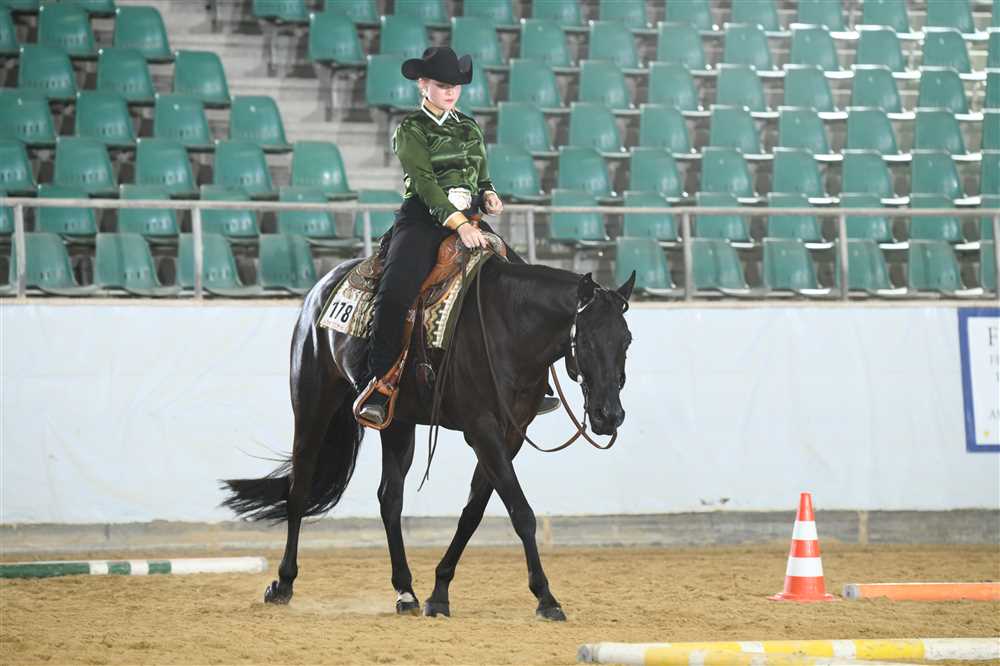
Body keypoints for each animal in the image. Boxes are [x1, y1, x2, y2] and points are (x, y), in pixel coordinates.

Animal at [222, 248, 635, 621]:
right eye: (587, 341)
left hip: (397, 424)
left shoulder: (510, 435)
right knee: (300, 489)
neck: (508, 328)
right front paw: (546, 598)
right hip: (312, 403)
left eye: (627, 340)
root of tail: (324, 284)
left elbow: (472, 513)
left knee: (390, 498)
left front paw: (439, 592)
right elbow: (521, 512)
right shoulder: (482, 429)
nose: (609, 415)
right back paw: (283, 583)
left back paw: (406, 592)